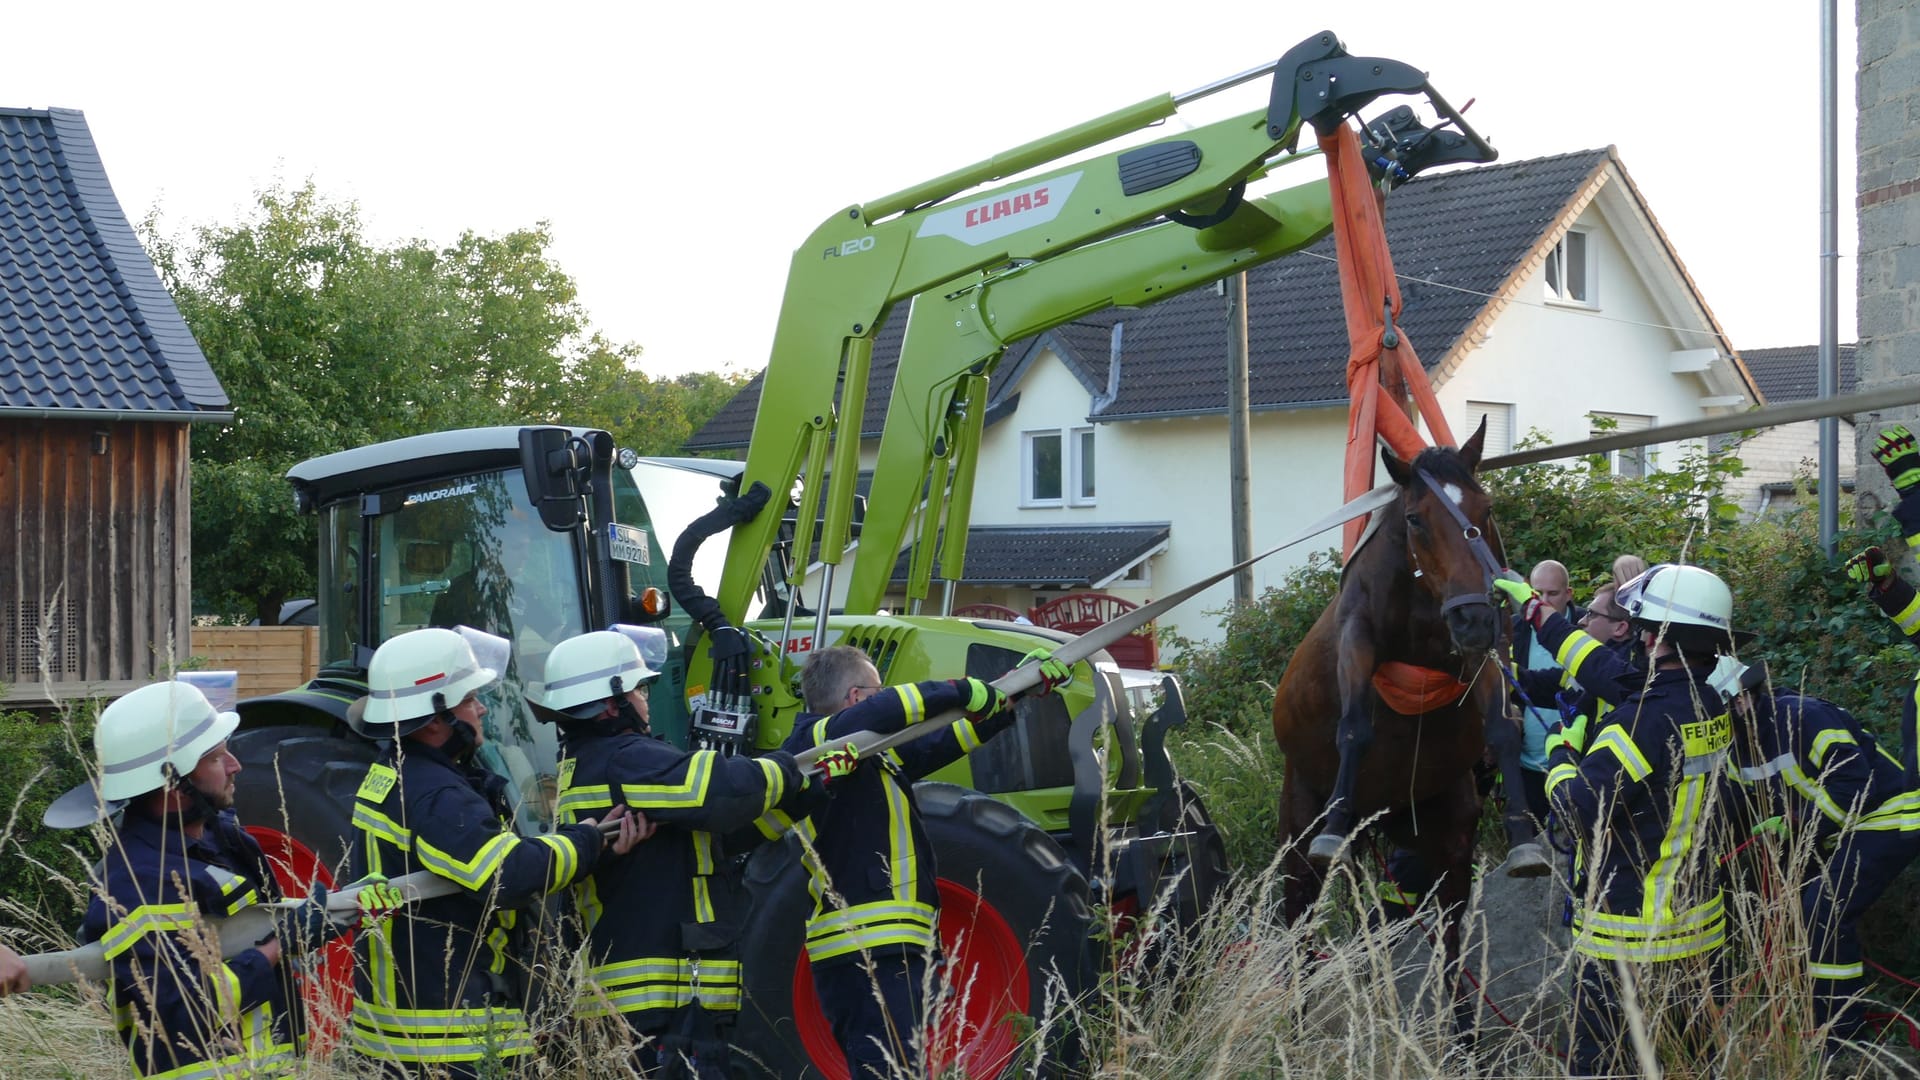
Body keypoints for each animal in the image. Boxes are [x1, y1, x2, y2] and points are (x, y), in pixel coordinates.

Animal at [1267, 417, 1520, 945]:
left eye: (1485, 509)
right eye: (1416, 519)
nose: (1473, 618)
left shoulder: (1473, 653)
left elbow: (1504, 727)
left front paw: (1525, 837)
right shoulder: (1357, 634)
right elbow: (1354, 727)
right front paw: (1335, 824)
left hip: (1441, 834)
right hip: (1298, 834)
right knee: (1299, 928)